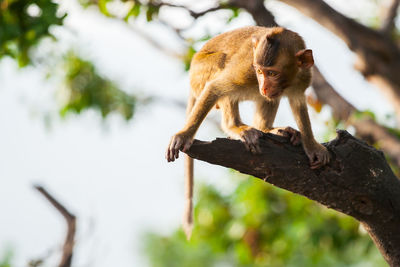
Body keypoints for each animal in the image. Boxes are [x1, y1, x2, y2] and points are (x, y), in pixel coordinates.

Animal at [164, 26, 330, 241]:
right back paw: (235, 127)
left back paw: (267, 128)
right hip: (201, 73)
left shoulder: (302, 78)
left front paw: (312, 145)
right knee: (221, 71)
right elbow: (215, 88)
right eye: (259, 71)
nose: (264, 86)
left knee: (269, 99)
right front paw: (183, 135)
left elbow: (298, 103)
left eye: (272, 73)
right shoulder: (245, 71)